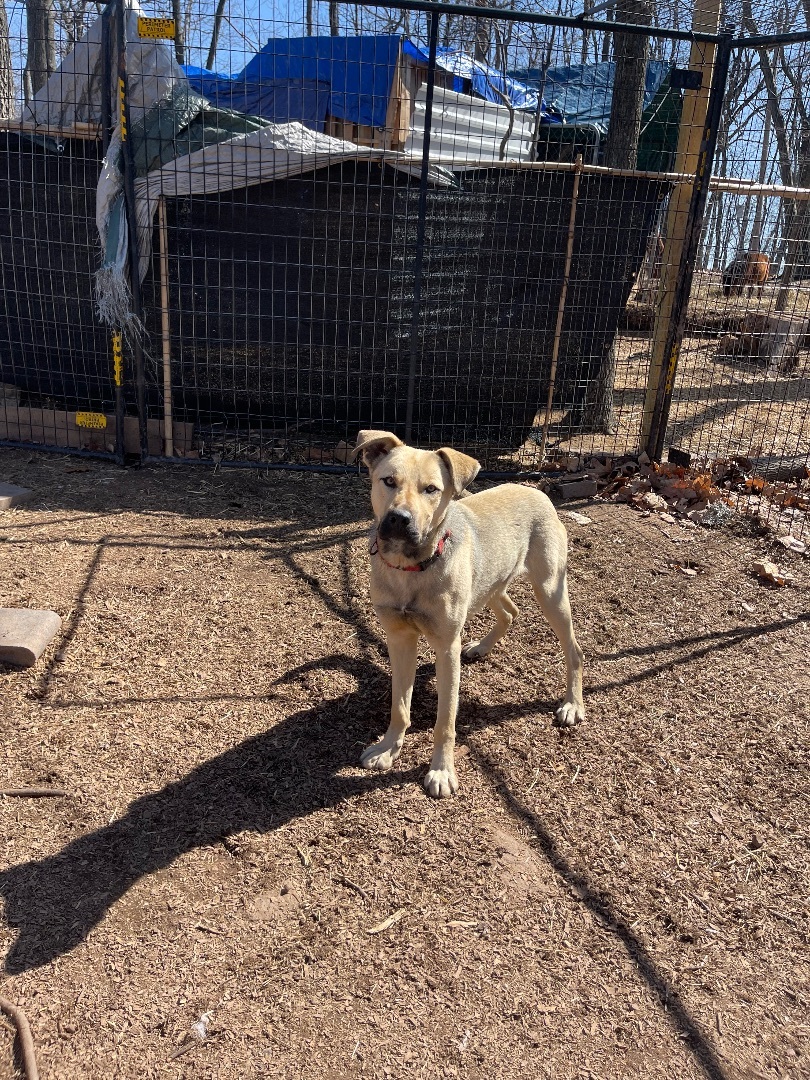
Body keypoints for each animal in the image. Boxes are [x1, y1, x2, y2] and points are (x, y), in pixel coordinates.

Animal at [354, 425, 583, 799]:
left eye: (431, 489)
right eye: (388, 481)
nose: (399, 520)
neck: (410, 568)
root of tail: (535, 490)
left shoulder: (447, 648)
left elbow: (445, 721)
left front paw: (441, 771)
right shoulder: (399, 639)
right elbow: (400, 707)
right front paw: (388, 748)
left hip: (550, 590)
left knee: (573, 650)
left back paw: (572, 704)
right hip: (490, 582)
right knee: (510, 611)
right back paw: (481, 647)